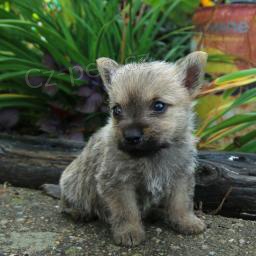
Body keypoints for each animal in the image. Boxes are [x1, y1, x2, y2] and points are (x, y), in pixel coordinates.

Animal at [60, 51, 208, 246]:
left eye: (159, 106)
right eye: (116, 110)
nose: (131, 136)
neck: (151, 154)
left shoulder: (180, 177)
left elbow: (181, 203)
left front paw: (186, 221)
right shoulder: (119, 183)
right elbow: (126, 210)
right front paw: (129, 232)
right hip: (72, 184)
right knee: (67, 203)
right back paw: (79, 212)